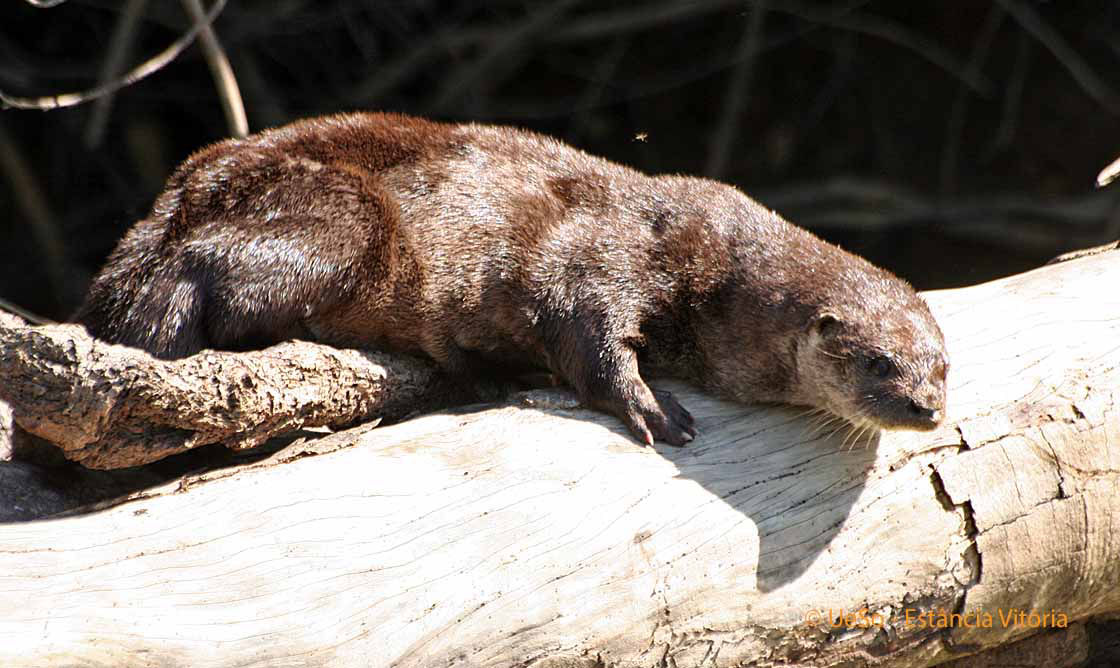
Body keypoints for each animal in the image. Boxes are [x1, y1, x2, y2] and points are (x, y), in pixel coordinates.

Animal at [78, 112, 949, 446]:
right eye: (878, 362)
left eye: (942, 365)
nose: (926, 407)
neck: (707, 260)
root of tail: (181, 191)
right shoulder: (600, 254)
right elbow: (587, 330)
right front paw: (653, 409)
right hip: (343, 216)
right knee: (203, 278)